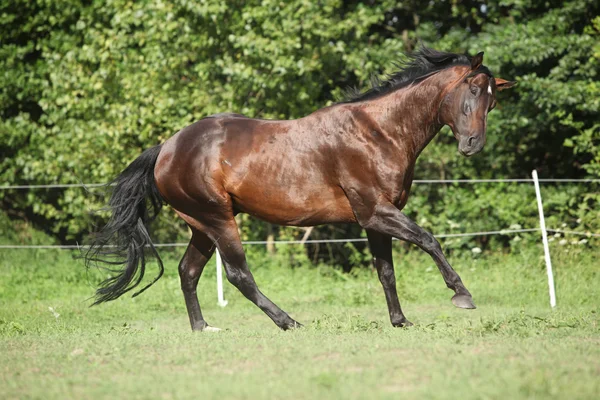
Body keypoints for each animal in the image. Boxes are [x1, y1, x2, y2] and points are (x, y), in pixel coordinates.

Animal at [84, 47, 516, 332]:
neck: (380, 132)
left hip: (202, 226)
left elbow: (386, 273)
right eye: (473, 91)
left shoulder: (375, 220)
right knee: (238, 275)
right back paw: (288, 321)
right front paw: (461, 295)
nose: (473, 144)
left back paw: (203, 328)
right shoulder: (376, 211)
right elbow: (429, 239)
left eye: (494, 101)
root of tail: (166, 149)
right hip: (218, 220)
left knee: (187, 271)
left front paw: (400, 321)